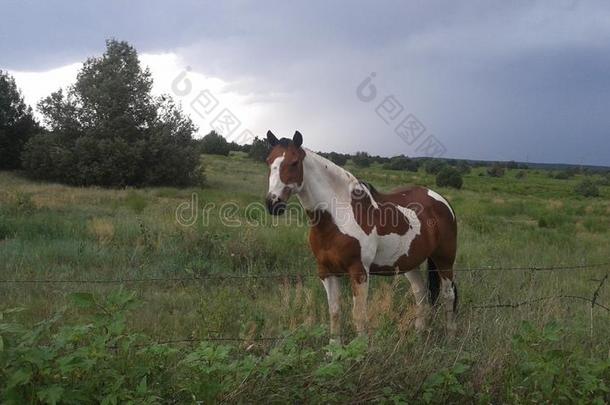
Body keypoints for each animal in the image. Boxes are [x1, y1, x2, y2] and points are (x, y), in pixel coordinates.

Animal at [262, 130, 456, 340]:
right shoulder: (326, 271)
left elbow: (359, 316)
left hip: (444, 259)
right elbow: (334, 311)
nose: (273, 203)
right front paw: (334, 346)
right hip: (410, 262)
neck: (337, 217)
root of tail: (441, 200)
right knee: (420, 293)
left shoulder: (359, 272)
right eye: (268, 161)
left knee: (448, 294)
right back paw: (419, 334)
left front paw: (361, 346)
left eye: (294, 162)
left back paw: (450, 335)